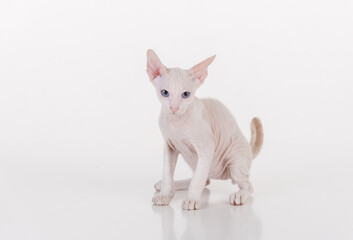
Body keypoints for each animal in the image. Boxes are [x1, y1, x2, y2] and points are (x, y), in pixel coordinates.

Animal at [146, 49, 262, 210]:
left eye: (186, 94)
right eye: (164, 92)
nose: (174, 108)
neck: (176, 122)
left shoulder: (206, 147)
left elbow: (198, 180)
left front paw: (192, 199)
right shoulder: (169, 146)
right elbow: (167, 172)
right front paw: (165, 194)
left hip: (235, 161)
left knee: (247, 185)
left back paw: (239, 195)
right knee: (204, 179)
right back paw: (169, 185)